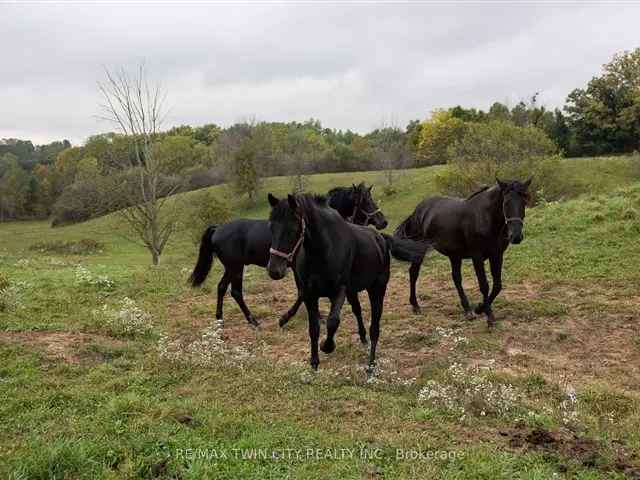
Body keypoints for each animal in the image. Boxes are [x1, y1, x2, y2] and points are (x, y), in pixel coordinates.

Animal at [188, 182, 388, 328]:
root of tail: (218, 228)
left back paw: (221, 319)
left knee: (223, 288)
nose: (383, 222)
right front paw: (288, 318)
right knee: (234, 291)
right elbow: (301, 293)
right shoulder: (297, 270)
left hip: (234, 267)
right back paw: (251, 320)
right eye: (366, 201)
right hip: (235, 267)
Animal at [268, 193, 428, 370]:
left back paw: (371, 364)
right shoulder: (310, 295)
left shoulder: (339, 291)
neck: (324, 251)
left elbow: (332, 322)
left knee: (375, 327)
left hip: (377, 289)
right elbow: (314, 328)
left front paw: (327, 346)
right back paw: (363, 338)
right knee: (357, 311)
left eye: (293, 229)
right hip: (353, 291)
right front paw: (314, 361)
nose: (274, 270)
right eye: (271, 227)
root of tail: (381, 238)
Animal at [396, 178, 528, 328]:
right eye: (505, 203)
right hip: (421, 250)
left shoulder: (497, 255)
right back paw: (415, 305)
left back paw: (467, 310)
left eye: (524, 201)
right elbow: (484, 285)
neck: (484, 217)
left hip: (454, 255)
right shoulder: (477, 257)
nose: (516, 236)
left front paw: (479, 308)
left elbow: (497, 286)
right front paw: (489, 317)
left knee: (456, 278)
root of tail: (417, 210)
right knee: (414, 273)